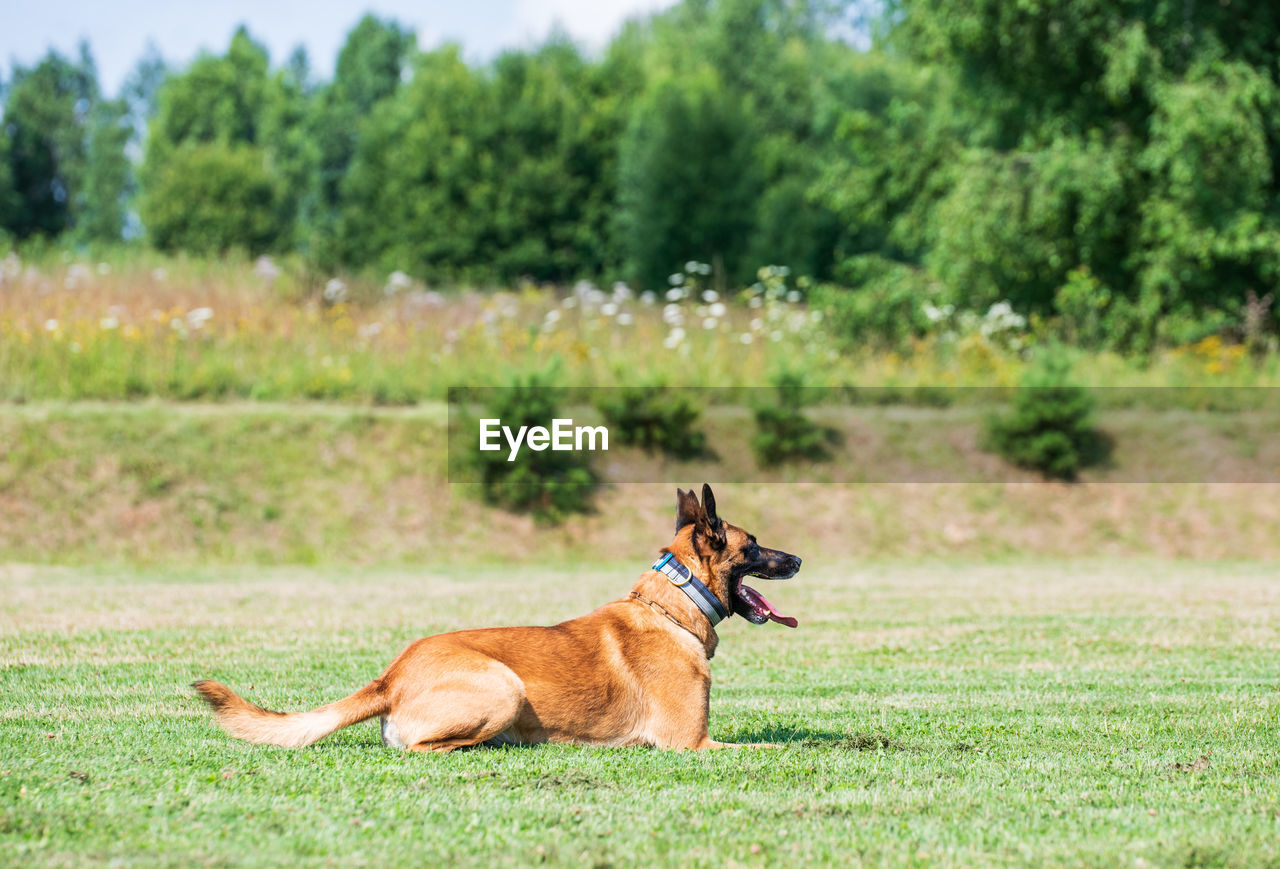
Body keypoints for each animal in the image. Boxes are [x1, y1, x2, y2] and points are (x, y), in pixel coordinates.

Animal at [192, 486, 798, 752]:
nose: (796, 560)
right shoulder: (694, 744)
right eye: (753, 545)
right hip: (504, 687)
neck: (670, 607)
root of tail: (391, 677)